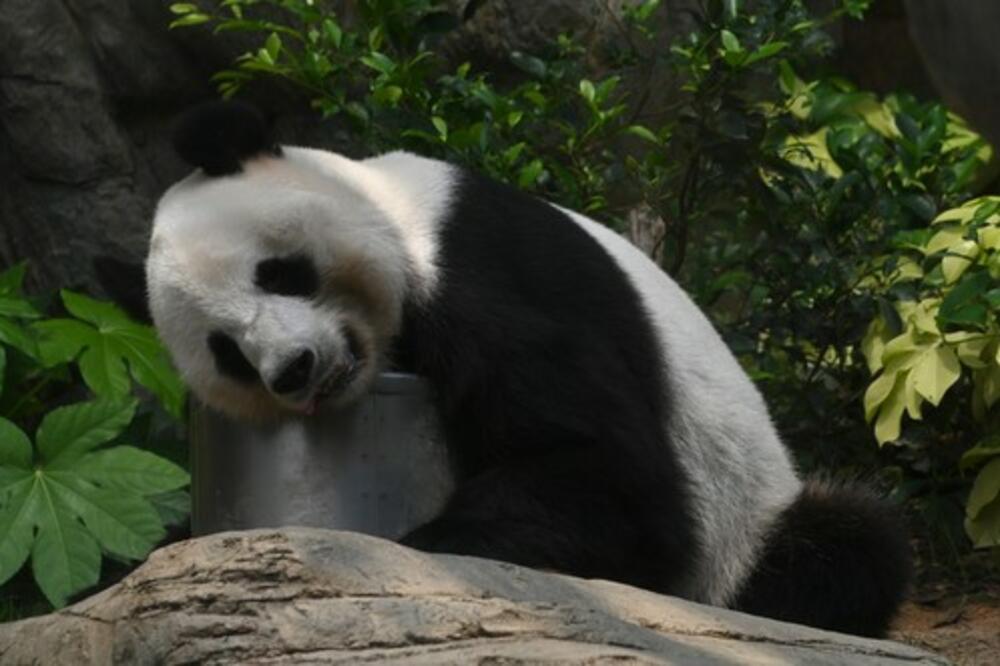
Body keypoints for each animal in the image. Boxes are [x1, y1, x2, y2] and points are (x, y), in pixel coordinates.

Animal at [101, 100, 910, 637]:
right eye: (226, 352)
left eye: (279, 273)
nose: (296, 369)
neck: (383, 205)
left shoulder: (482, 268)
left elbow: (609, 476)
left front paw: (416, 549)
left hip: (745, 526)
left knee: (845, 544)